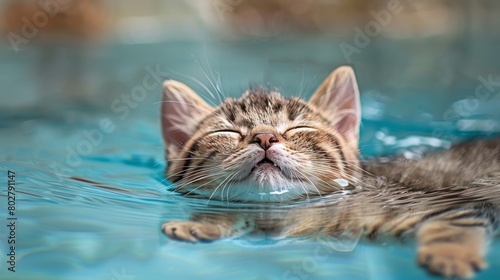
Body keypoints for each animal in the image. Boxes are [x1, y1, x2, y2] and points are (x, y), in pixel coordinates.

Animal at [160, 65, 500, 278]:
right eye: (227, 132)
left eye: (298, 128)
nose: (265, 137)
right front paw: (203, 224)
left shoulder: (449, 204)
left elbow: (457, 222)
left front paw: (450, 255)